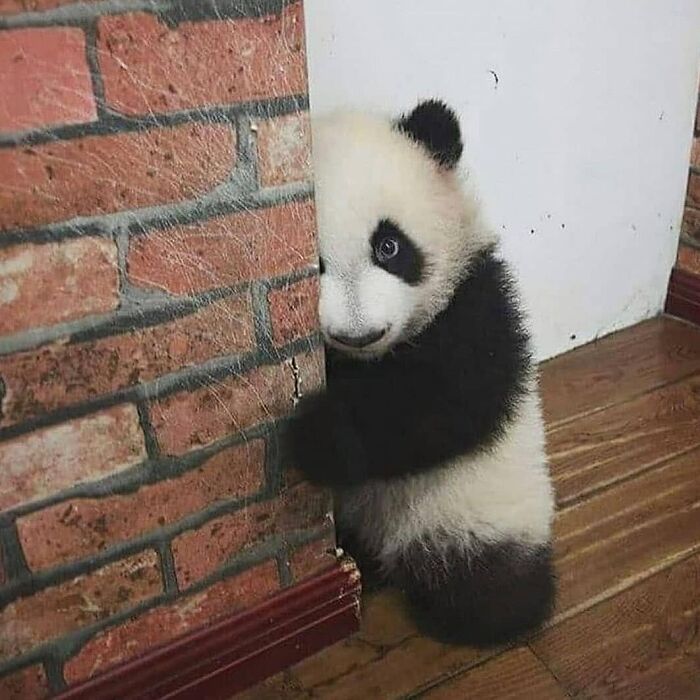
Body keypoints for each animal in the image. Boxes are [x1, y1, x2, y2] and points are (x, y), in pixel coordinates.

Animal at [288, 99, 555, 647]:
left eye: (389, 246)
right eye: (313, 262)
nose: (358, 332)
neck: (371, 360)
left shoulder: (476, 303)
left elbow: (446, 408)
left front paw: (321, 436)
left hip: (474, 506)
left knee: (487, 584)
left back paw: (486, 605)